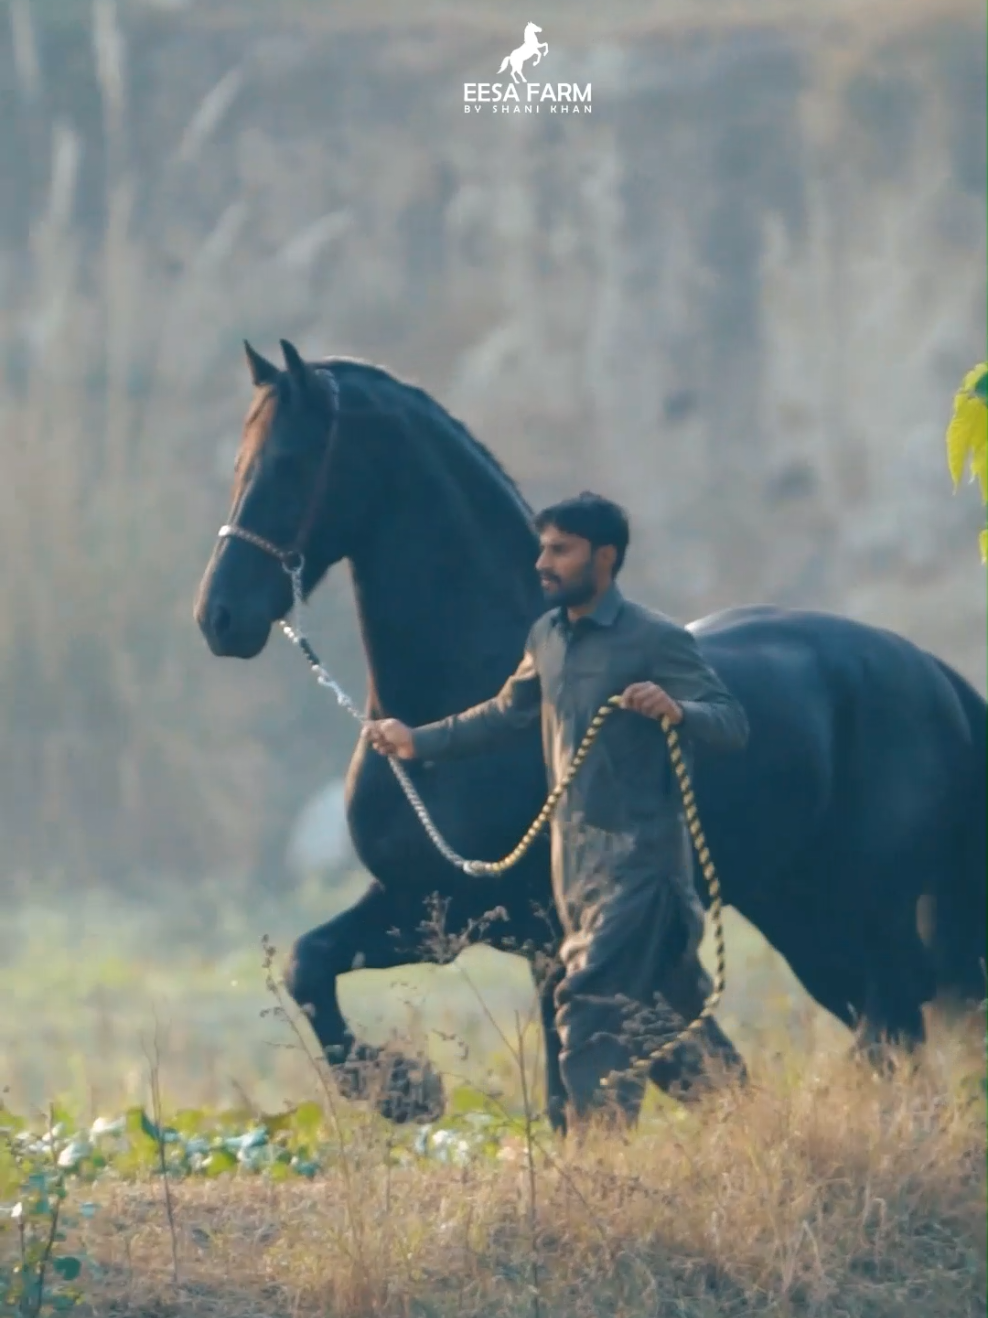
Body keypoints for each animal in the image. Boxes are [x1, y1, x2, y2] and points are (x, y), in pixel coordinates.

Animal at [194, 342, 988, 1133]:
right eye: (237, 462)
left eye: (291, 461)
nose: (219, 617)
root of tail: (931, 672)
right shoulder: (426, 902)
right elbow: (308, 961)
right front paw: (404, 1088)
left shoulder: (546, 935)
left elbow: (572, 1093)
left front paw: (406, 1087)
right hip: (804, 917)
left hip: (871, 910)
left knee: (895, 1030)